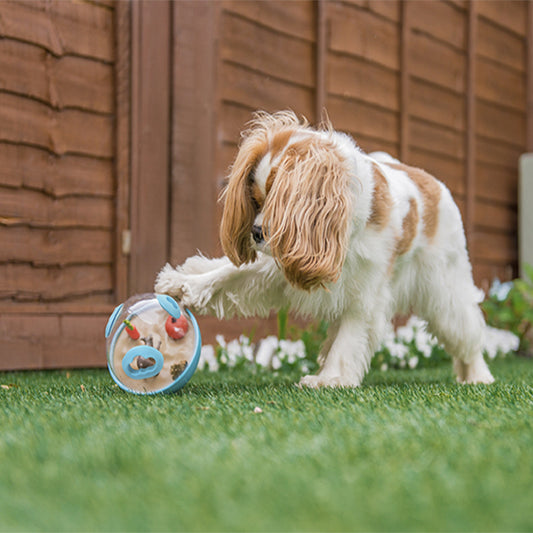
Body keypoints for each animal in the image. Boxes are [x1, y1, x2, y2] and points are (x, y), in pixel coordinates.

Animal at [155, 111, 494, 386]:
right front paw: (184, 284)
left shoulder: (365, 295)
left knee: (468, 336)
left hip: (445, 291)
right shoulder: (284, 261)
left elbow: (349, 339)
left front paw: (330, 379)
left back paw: (477, 377)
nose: (256, 232)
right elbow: (227, 274)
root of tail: (434, 183)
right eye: (256, 200)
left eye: (279, 202)